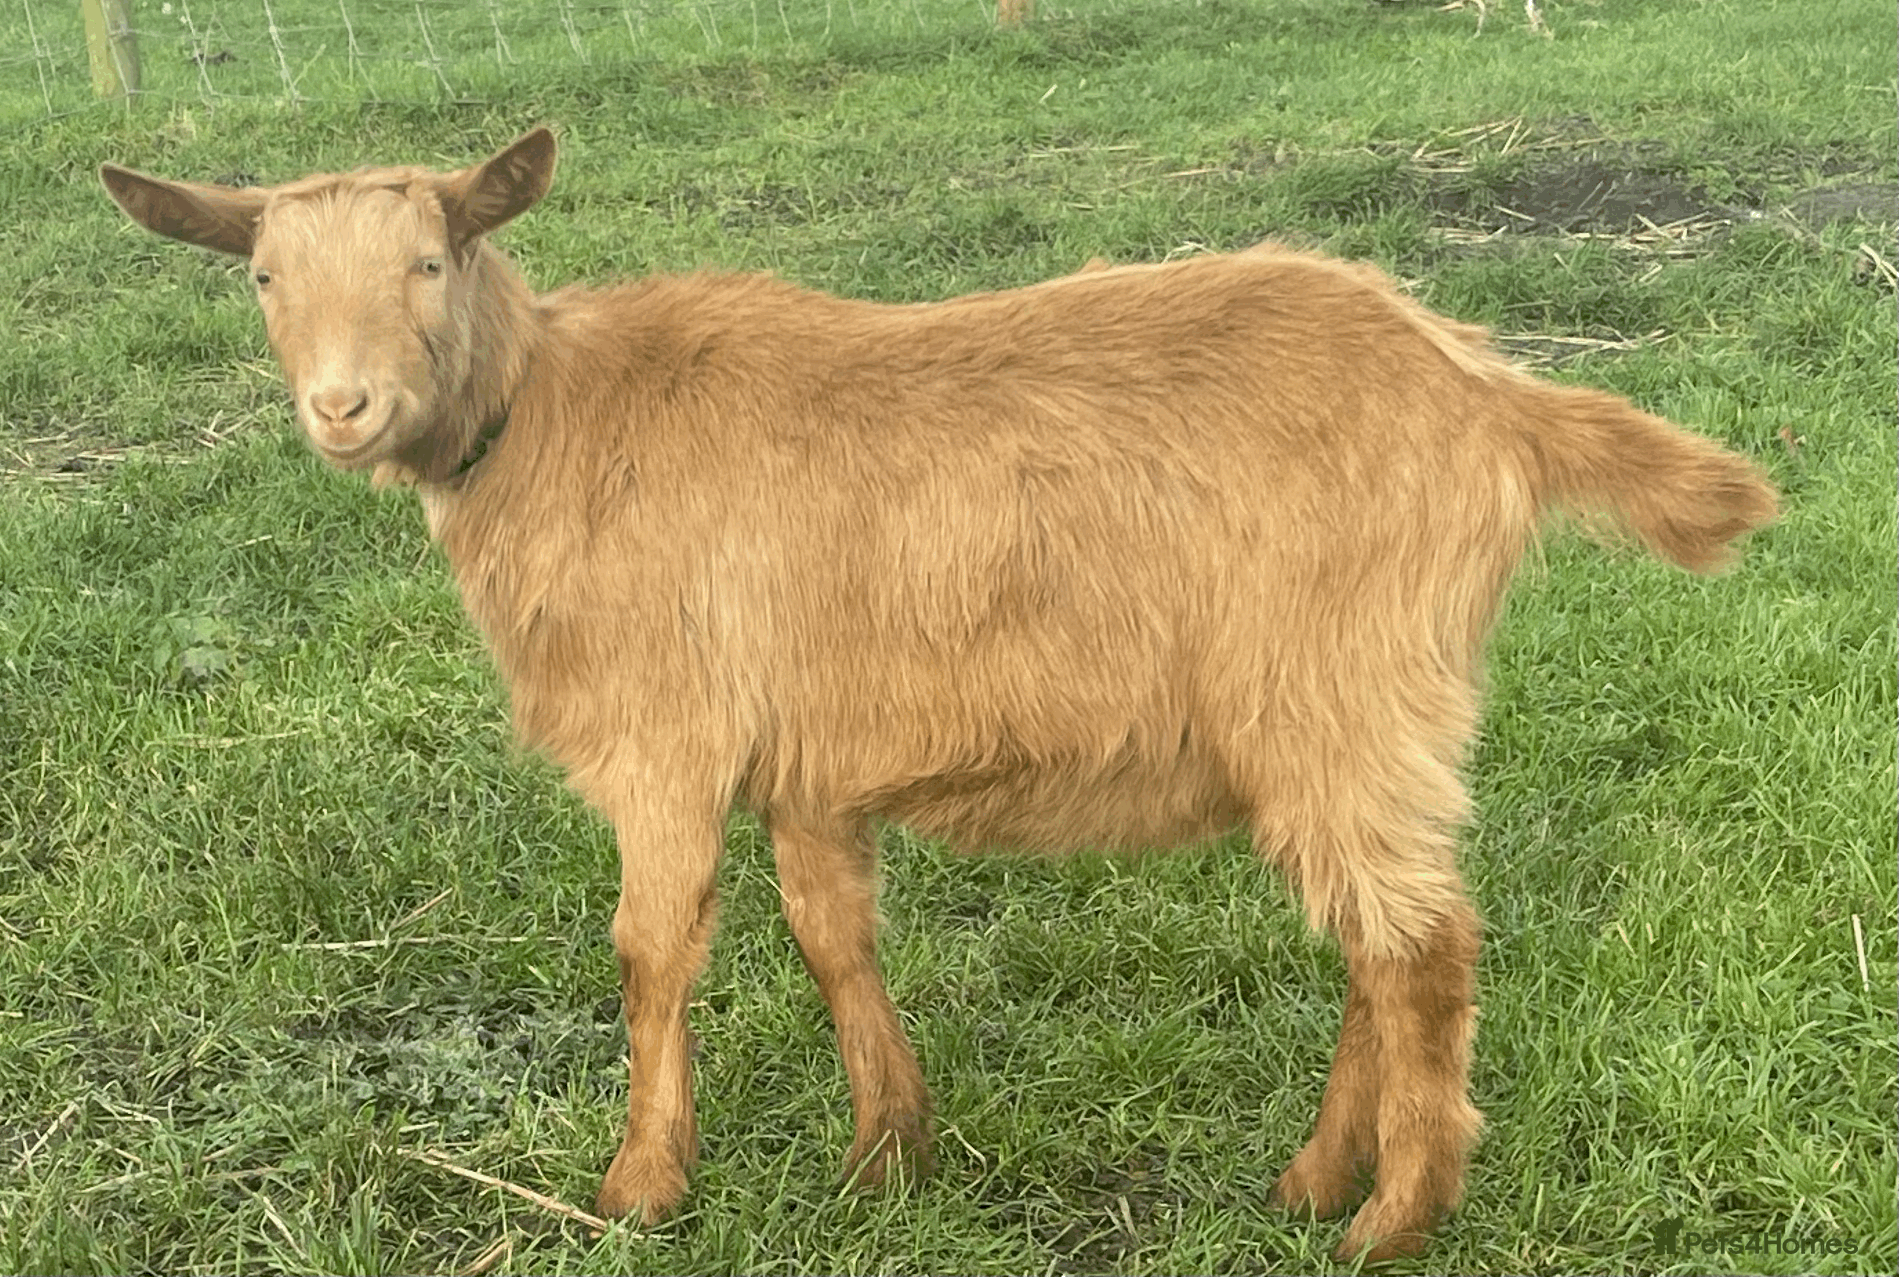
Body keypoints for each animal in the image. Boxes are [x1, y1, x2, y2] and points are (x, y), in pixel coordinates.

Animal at [100, 127, 1776, 1262]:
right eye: (264, 277)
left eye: (428, 261)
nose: (342, 406)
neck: (558, 420)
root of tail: (1490, 393)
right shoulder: (804, 752)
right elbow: (830, 936)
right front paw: (884, 1151)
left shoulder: (668, 736)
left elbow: (650, 949)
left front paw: (640, 1186)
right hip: (1347, 715)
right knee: (1382, 934)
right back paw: (1315, 1183)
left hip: (1339, 686)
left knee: (1420, 945)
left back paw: (1392, 1220)